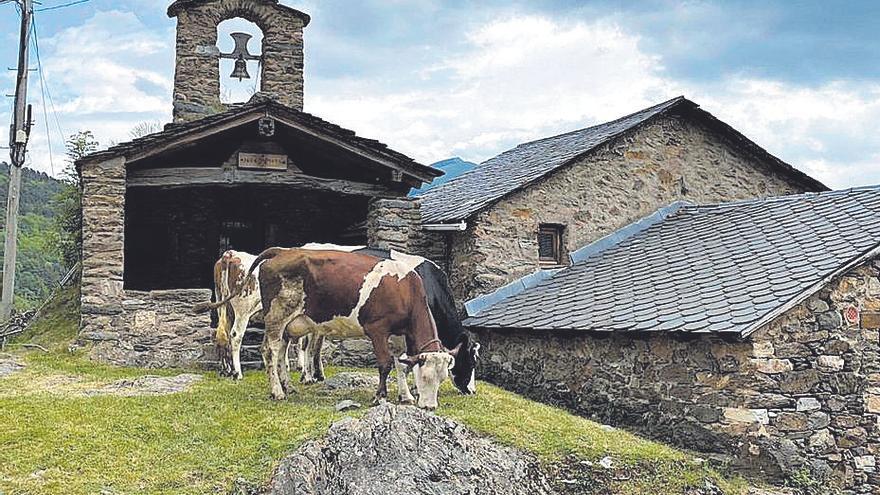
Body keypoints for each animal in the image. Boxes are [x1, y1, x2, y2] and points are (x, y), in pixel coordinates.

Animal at [198, 250, 460, 408]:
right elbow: (385, 364)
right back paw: (276, 391)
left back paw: (288, 386)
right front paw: (379, 396)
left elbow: (400, 364)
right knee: (268, 350)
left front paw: (405, 396)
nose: (430, 407)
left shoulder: (398, 334)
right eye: (425, 376)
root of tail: (282, 251)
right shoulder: (377, 329)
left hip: (288, 322)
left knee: (280, 352)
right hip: (275, 316)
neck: (405, 290)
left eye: (443, 377)